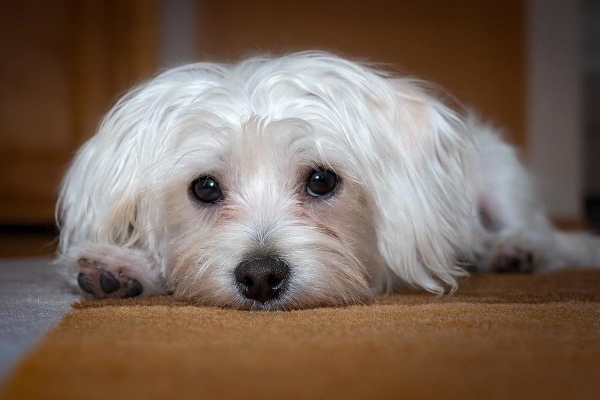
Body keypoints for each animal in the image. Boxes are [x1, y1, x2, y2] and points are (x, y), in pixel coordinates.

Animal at [57, 51, 600, 310]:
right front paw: (121, 266)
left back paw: (513, 250)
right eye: (205, 188)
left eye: (321, 180)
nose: (260, 278)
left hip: (499, 175)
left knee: (538, 234)